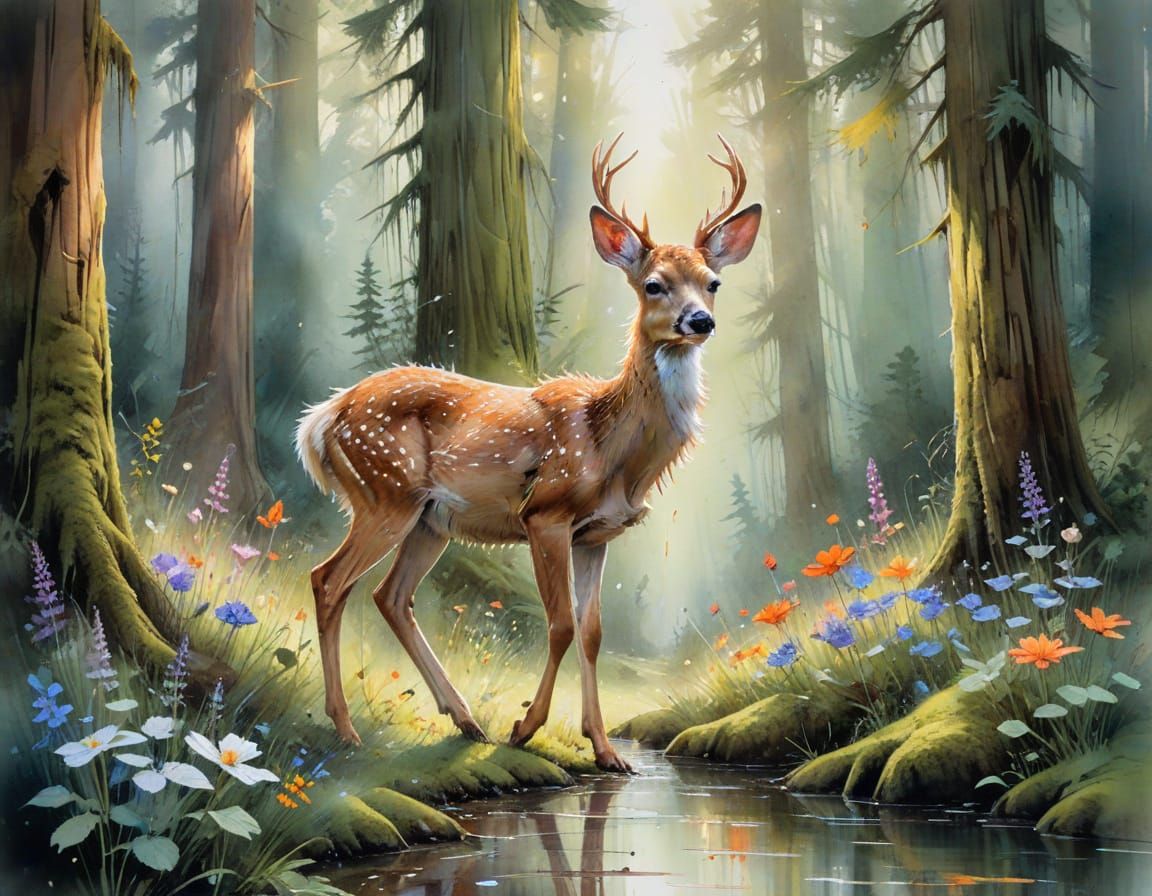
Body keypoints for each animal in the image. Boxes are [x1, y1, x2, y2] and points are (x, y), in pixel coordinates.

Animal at [296, 136, 761, 772]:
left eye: (713, 281)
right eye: (654, 284)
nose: (700, 321)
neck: (611, 449)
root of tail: (322, 419)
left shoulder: (597, 534)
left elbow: (592, 631)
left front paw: (606, 750)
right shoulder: (546, 514)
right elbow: (560, 624)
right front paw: (526, 727)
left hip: (429, 520)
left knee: (390, 596)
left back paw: (465, 719)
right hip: (384, 492)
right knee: (328, 581)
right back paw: (347, 729)